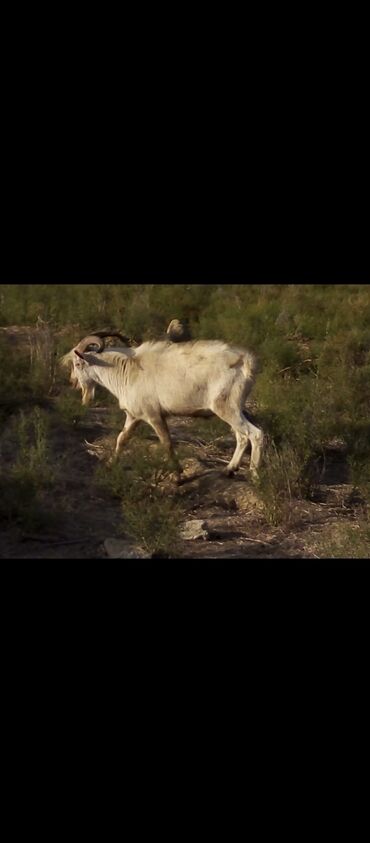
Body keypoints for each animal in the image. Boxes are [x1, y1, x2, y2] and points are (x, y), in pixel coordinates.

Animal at [66, 332, 264, 478]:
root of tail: (245, 361)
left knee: (255, 434)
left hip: (226, 408)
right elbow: (122, 439)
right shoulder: (133, 416)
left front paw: (178, 476)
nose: (73, 382)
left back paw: (254, 475)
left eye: (77, 364)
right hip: (234, 410)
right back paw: (229, 469)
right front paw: (110, 464)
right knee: (242, 437)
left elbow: (166, 442)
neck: (127, 370)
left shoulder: (153, 415)